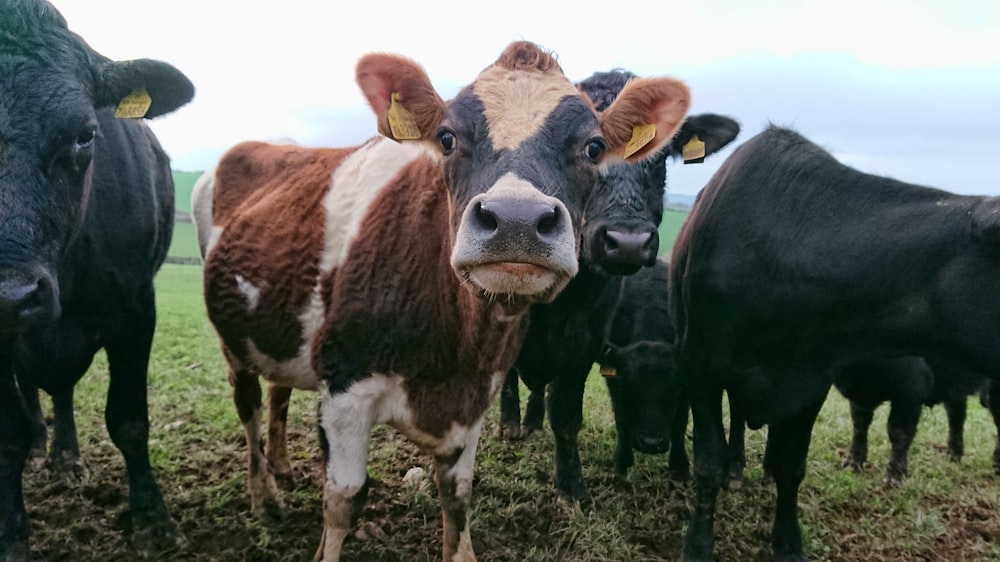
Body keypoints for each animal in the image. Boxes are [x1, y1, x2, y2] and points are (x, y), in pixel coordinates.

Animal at [0, 2, 193, 556]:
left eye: (86, 133)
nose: (9, 294)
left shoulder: (136, 309)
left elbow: (128, 419)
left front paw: (153, 520)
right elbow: (8, 435)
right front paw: (11, 533)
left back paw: (65, 457)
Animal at [196, 42, 696, 560]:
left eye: (593, 147)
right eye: (447, 138)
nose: (517, 220)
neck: (451, 346)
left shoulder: (475, 395)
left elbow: (457, 496)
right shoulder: (344, 388)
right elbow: (344, 500)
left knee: (277, 394)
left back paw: (282, 468)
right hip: (233, 342)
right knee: (250, 408)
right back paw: (265, 496)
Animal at [496, 68, 740, 500]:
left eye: (660, 156)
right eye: (586, 147)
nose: (627, 241)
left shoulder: (585, 343)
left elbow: (566, 414)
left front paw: (571, 485)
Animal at [668, 123, 1000, 560]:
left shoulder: (811, 379)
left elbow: (792, 465)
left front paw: (788, 542)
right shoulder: (701, 364)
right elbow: (709, 462)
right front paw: (698, 543)